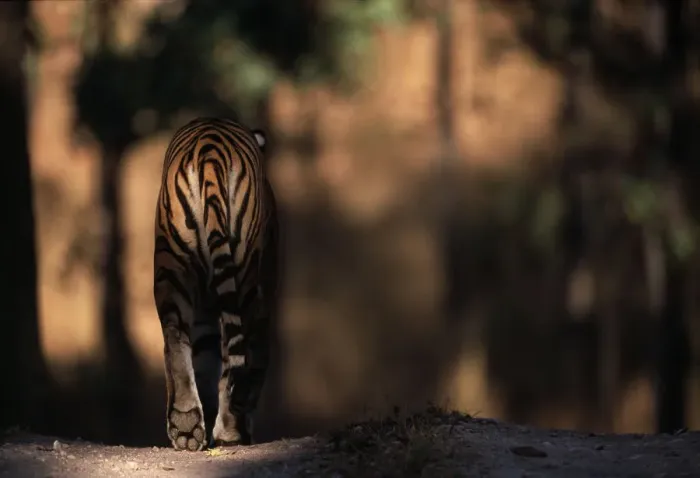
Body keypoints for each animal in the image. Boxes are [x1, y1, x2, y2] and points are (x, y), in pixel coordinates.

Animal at [153, 117, 279, 451]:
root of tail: (209, 151)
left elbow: (205, 361)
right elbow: (254, 358)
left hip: (172, 266)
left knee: (175, 337)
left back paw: (185, 426)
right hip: (245, 275)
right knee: (238, 353)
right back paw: (230, 429)